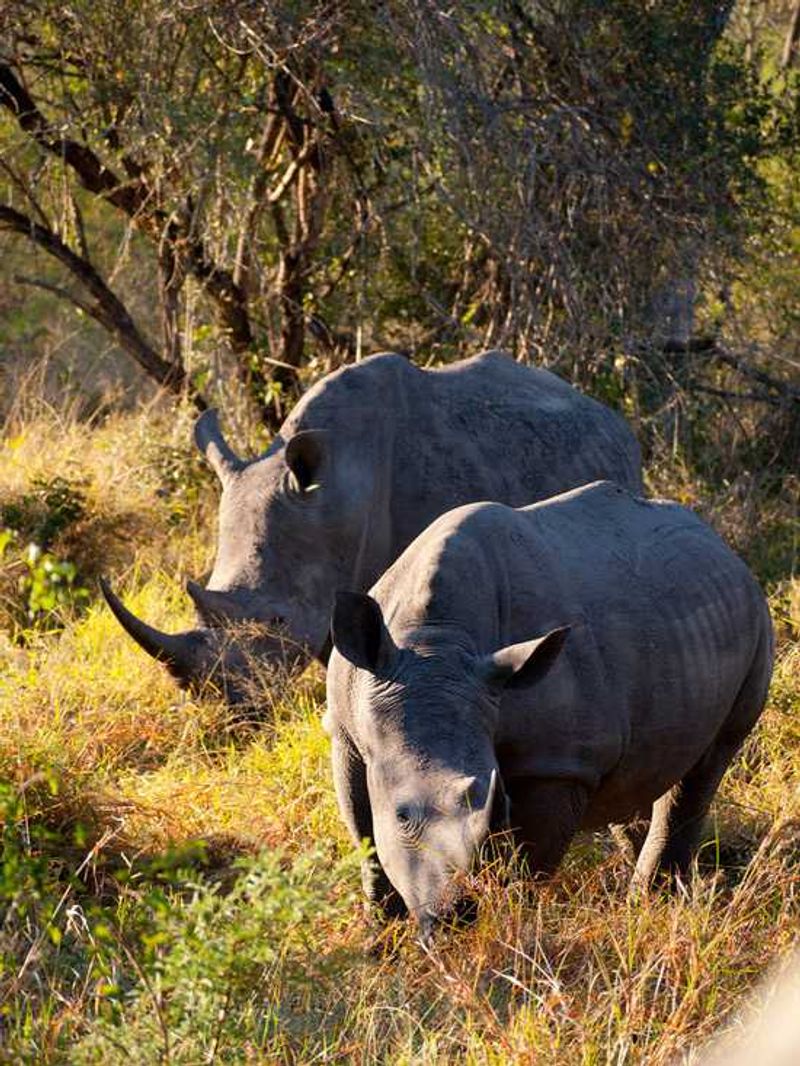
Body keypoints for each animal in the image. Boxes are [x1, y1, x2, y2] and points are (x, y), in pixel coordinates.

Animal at [326, 480, 773, 940]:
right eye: (401, 815)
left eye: (501, 805)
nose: (456, 916)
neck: (435, 644)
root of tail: (723, 546)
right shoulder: (347, 734)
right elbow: (365, 835)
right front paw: (382, 938)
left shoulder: (556, 762)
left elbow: (530, 865)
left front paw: (514, 930)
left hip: (757, 622)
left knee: (709, 760)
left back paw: (653, 903)